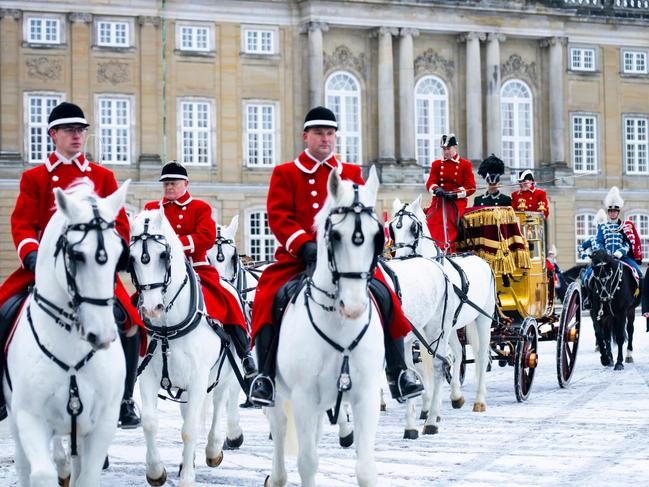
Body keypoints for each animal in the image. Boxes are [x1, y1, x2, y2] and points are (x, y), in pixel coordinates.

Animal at [3, 180, 129, 487]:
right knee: (25, 464)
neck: (72, 345)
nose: (102, 335)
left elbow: (87, 477)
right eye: (76, 255)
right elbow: (41, 473)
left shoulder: (102, 423)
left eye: (119, 255)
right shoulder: (30, 417)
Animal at [129, 210, 243, 487]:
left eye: (163, 255)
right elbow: (150, 422)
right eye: (132, 258)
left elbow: (190, 429)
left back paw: (213, 449)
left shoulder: (200, 377)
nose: (152, 308)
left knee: (219, 403)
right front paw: (156, 471)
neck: (167, 327)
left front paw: (187, 478)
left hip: (222, 374)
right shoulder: (148, 375)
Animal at [264, 168, 384, 487]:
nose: (353, 306)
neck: (340, 327)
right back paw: (276, 476)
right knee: (279, 427)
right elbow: (307, 463)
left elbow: (365, 468)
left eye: (377, 236)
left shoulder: (366, 394)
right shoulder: (303, 397)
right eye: (336, 236)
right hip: (279, 395)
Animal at [388, 197, 494, 434]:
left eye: (413, 227)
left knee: (481, 356)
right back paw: (456, 396)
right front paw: (426, 408)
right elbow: (422, 365)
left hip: (482, 319)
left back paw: (480, 400)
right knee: (457, 353)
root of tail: (481, 260)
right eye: (392, 228)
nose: (401, 258)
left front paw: (431, 413)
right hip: (452, 327)